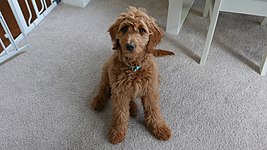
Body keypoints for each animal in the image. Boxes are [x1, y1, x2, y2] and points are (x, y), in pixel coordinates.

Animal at [90, 6, 174, 144]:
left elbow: (153, 110)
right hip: (107, 72)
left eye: (142, 30)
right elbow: (120, 114)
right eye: (124, 29)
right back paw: (99, 101)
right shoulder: (120, 92)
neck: (133, 67)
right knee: (103, 88)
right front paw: (117, 132)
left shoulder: (150, 90)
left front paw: (160, 128)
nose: (129, 45)